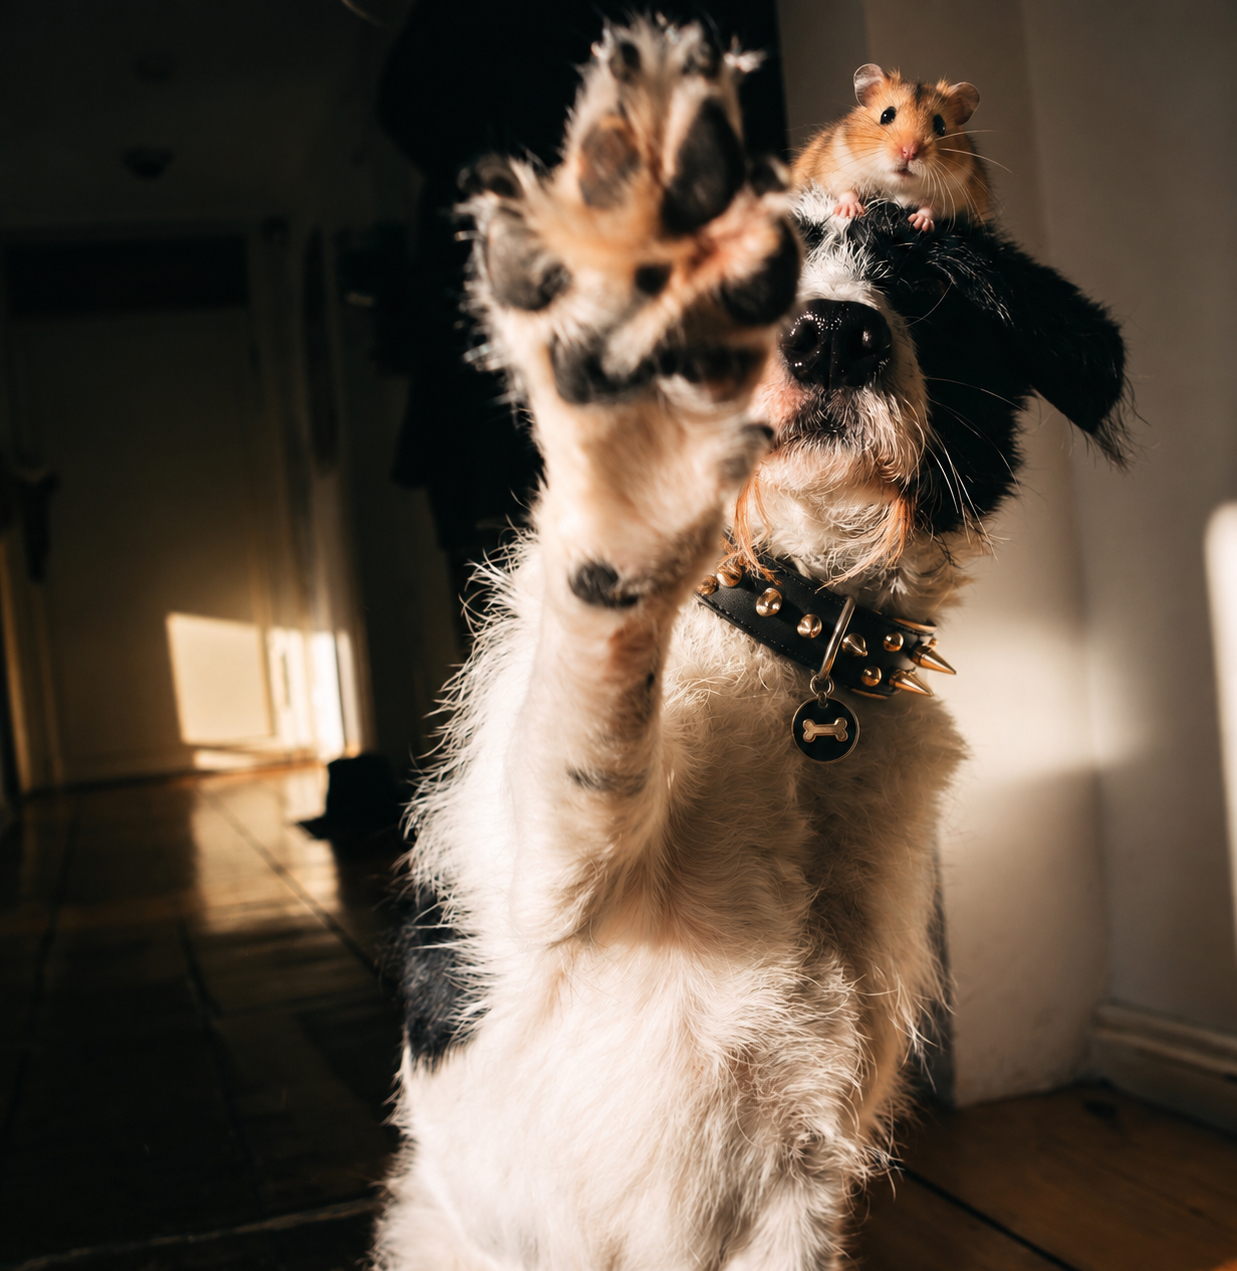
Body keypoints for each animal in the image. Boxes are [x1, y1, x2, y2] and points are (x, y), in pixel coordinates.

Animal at [794, 63, 990, 232]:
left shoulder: (952, 194)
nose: (909, 152)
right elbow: (845, 190)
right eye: (886, 115)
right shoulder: (836, 165)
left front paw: (919, 223)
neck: (896, 184)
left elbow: (931, 208)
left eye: (940, 125)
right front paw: (851, 211)